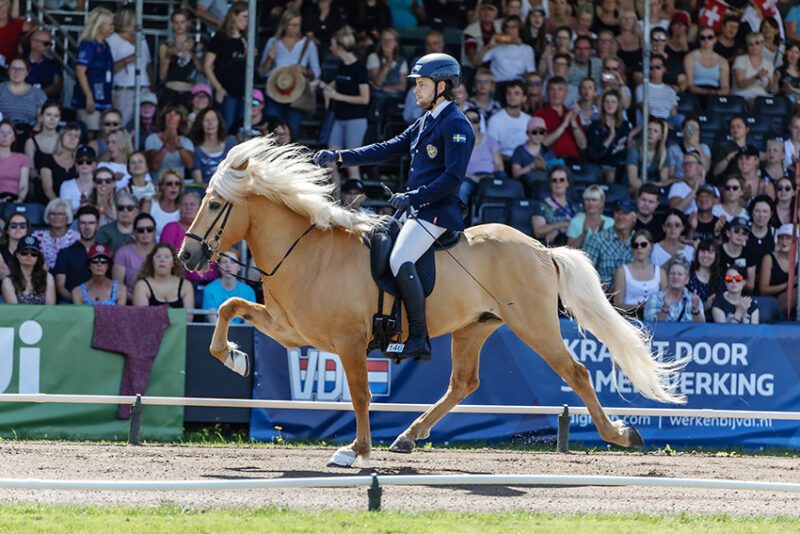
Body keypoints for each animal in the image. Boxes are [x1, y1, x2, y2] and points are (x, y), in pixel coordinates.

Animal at [181, 137, 688, 468]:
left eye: (215, 205)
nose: (187, 256)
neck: (306, 249)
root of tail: (541, 249)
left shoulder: (347, 341)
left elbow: (361, 394)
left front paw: (355, 451)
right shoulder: (291, 330)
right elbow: (229, 309)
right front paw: (235, 358)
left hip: (534, 326)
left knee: (576, 373)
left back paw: (621, 434)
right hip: (475, 326)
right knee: (463, 383)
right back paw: (409, 436)